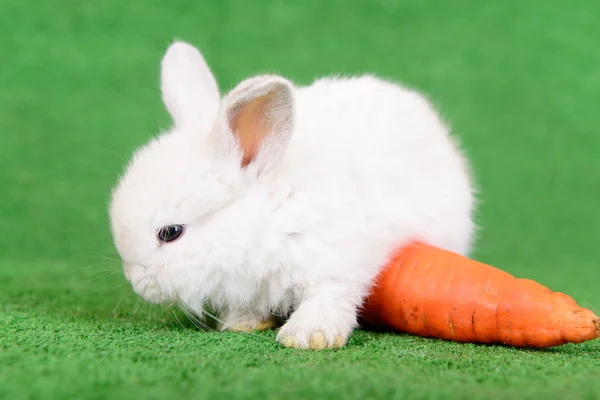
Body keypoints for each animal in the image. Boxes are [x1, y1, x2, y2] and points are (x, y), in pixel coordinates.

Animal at [106, 39, 474, 346]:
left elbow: (329, 296)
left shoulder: (335, 263)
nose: (137, 283)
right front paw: (240, 323)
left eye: (171, 233)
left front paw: (307, 337)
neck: (266, 217)